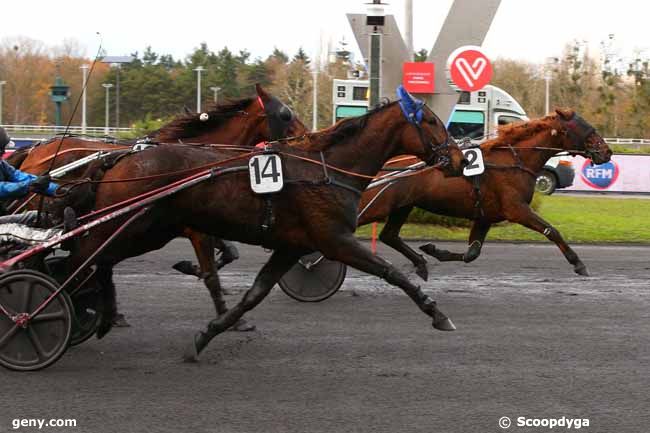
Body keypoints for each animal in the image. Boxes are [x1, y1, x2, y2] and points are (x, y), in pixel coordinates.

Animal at [63, 92, 464, 362]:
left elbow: (253, 295)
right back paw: (81, 315)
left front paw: (207, 335)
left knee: (97, 260)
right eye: (431, 122)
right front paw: (437, 313)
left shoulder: (292, 246)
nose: (459, 158)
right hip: (136, 226)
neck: (327, 170)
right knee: (87, 256)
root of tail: (118, 160)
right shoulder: (334, 239)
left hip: (148, 230)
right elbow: (391, 272)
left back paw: (97, 315)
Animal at [356, 107, 612, 276]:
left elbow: (472, 253)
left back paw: (420, 263)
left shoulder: (485, 216)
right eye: (587, 128)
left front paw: (434, 250)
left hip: (403, 205)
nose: (607, 152)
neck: (515, 160)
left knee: (389, 235)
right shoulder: (516, 209)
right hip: (379, 205)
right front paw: (577, 262)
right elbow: (551, 230)